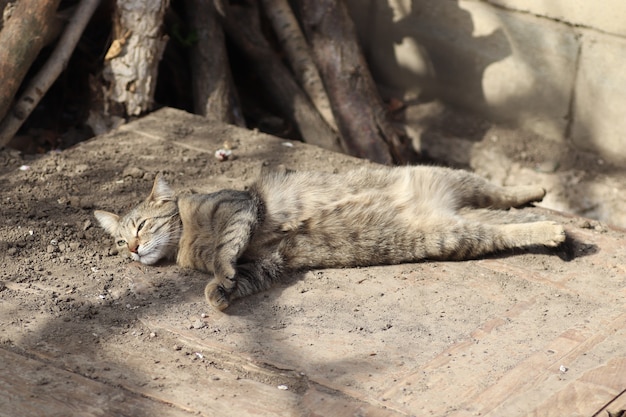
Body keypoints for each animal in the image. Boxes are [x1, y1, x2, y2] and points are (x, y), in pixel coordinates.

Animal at [94, 165, 564, 308]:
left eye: (140, 226)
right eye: (118, 242)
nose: (132, 249)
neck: (188, 241)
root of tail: (446, 207)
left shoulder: (241, 207)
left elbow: (229, 245)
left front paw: (219, 273)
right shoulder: (264, 263)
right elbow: (239, 275)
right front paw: (218, 292)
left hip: (457, 180)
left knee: (504, 192)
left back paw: (543, 201)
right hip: (459, 232)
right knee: (502, 226)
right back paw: (547, 220)